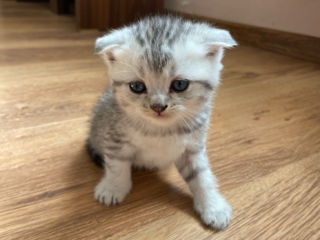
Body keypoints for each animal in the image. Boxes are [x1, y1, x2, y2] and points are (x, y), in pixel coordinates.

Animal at [87, 15, 238, 230]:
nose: (158, 106)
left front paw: (212, 204)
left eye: (180, 84)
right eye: (137, 86)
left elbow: (201, 175)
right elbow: (117, 165)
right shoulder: (115, 137)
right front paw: (113, 187)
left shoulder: (192, 147)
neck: (160, 130)